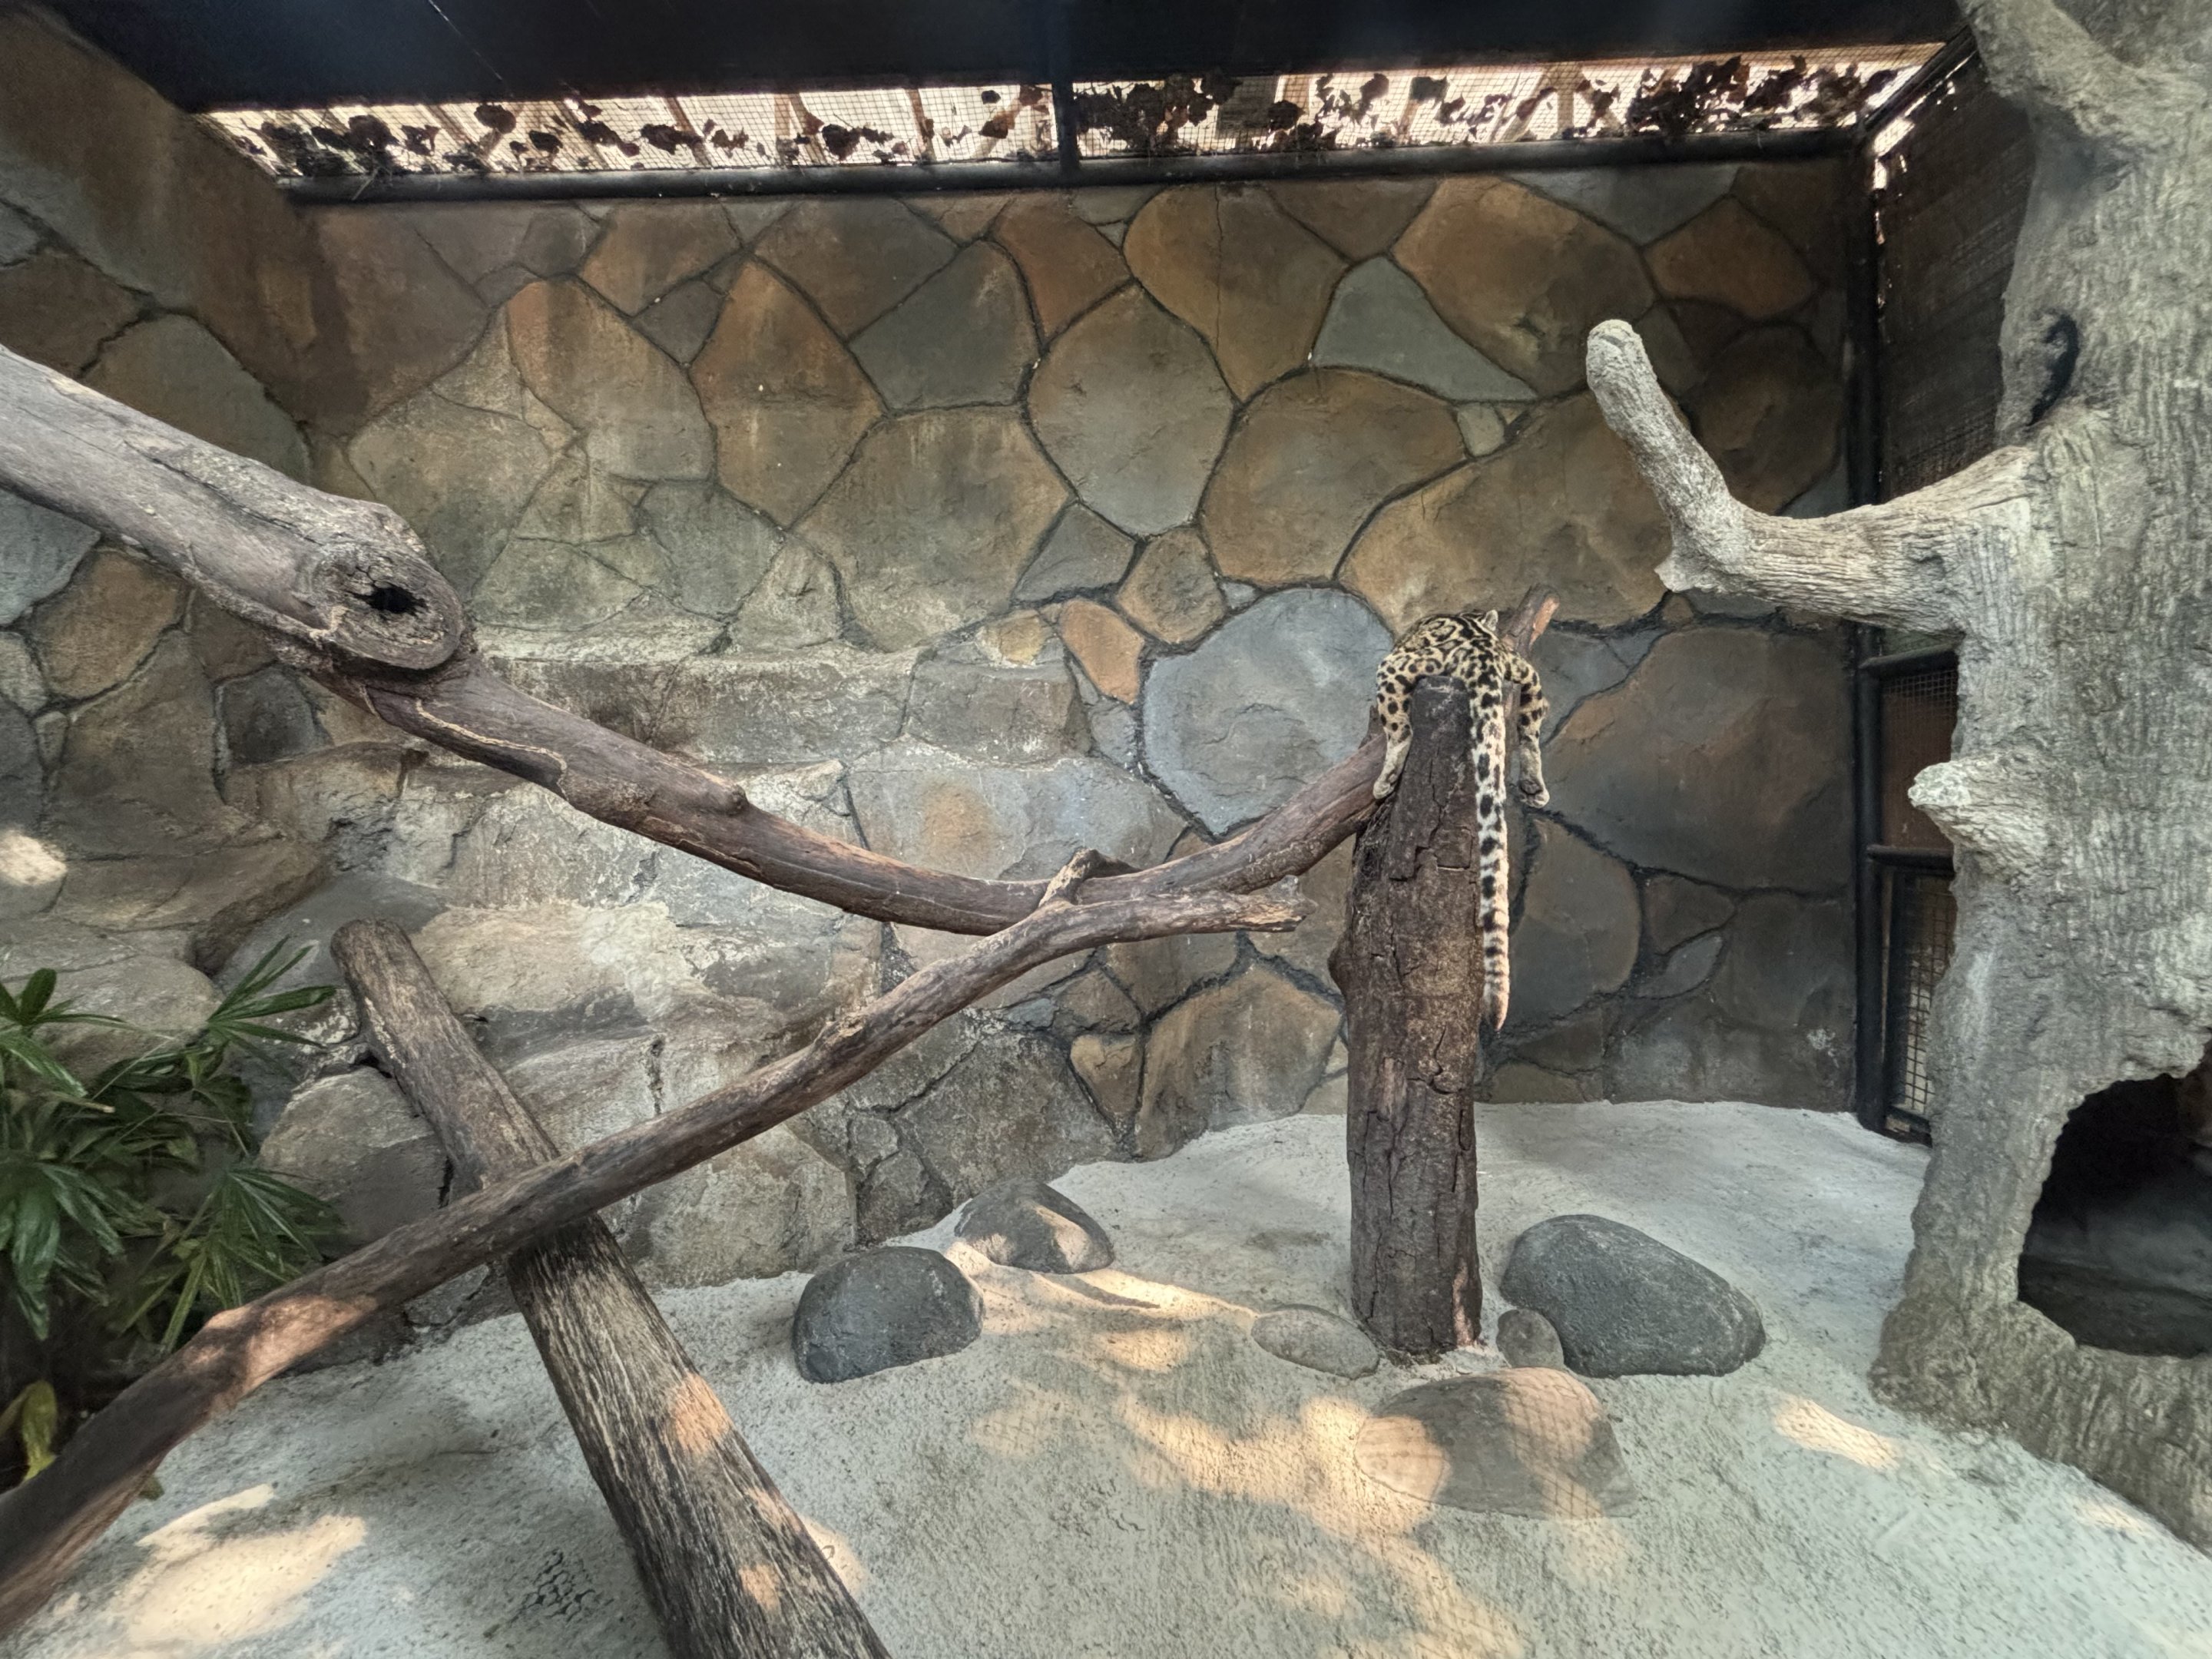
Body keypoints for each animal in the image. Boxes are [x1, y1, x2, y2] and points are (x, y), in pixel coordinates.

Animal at [1369, 608, 1549, 1030]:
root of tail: (1482, 648)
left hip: (1397, 667)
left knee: (1400, 728)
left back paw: (1385, 780)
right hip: (1526, 673)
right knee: (1532, 725)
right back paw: (1534, 785)